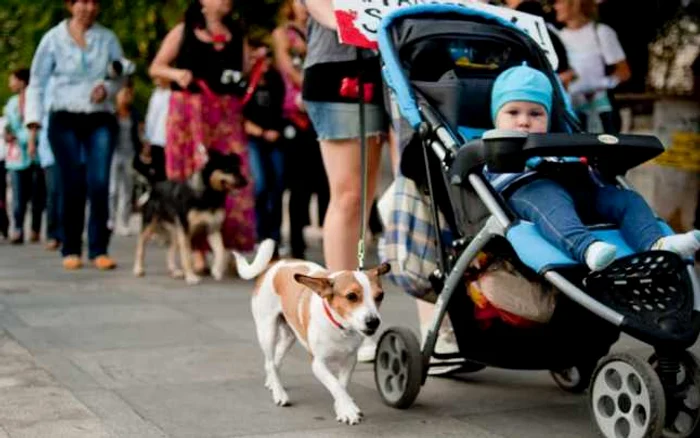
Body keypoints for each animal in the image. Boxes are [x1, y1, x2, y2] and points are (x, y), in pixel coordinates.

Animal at [232, 241, 392, 426]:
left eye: (380, 296)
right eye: (351, 296)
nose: (373, 321)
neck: (339, 327)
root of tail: (275, 264)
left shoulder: (350, 360)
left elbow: (341, 385)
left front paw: (341, 407)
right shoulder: (318, 363)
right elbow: (335, 384)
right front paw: (348, 410)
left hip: (289, 336)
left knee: (275, 361)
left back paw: (273, 382)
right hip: (267, 331)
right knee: (270, 362)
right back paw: (280, 393)